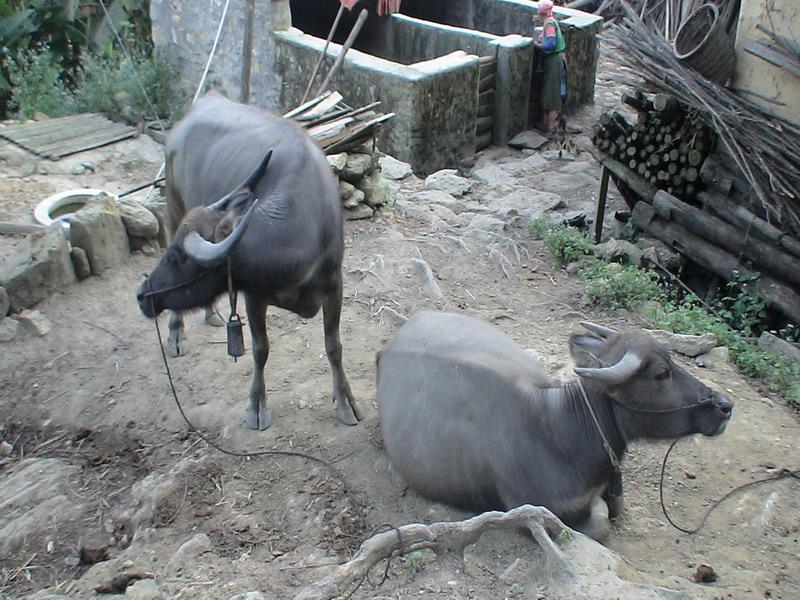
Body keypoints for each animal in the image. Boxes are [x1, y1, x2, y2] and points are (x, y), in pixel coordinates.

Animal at [138, 91, 362, 432]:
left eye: (178, 259)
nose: (141, 295)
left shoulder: (334, 286)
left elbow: (333, 345)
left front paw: (345, 400)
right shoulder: (253, 296)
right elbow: (260, 350)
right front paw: (256, 405)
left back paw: (211, 312)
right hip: (173, 206)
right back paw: (176, 333)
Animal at [378, 312, 736, 540]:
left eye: (673, 360)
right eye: (662, 373)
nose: (724, 405)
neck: (559, 432)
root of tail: (388, 348)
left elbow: (614, 505)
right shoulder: (528, 513)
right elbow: (600, 522)